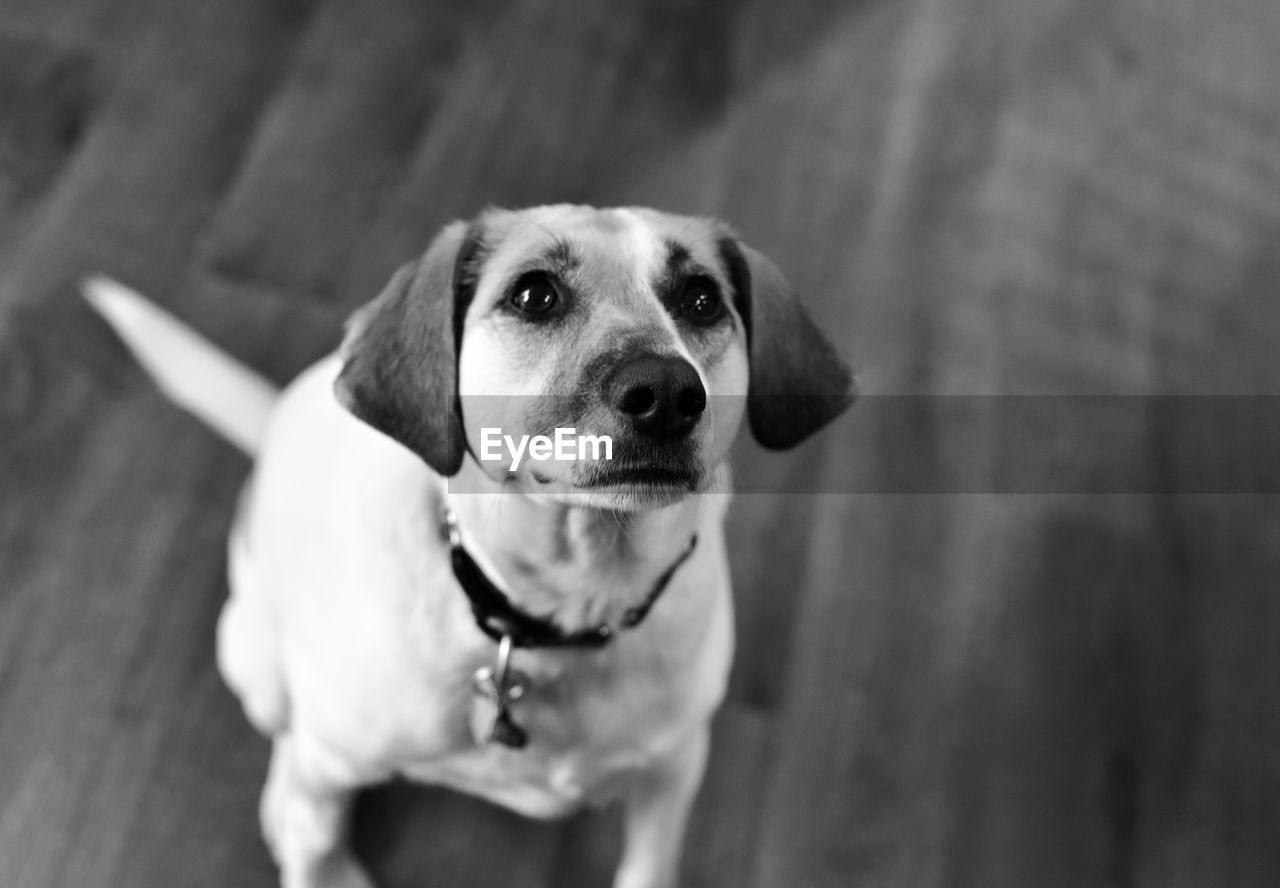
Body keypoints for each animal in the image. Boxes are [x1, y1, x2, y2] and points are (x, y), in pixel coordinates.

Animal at [87, 207, 849, 888]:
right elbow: (315, 832)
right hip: (255, 663)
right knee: (287, 742)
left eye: (701, 298)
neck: (555, 611)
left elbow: (648, 866)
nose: (665, 392)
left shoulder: (673, 771)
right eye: (534, 294)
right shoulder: (332, 758)